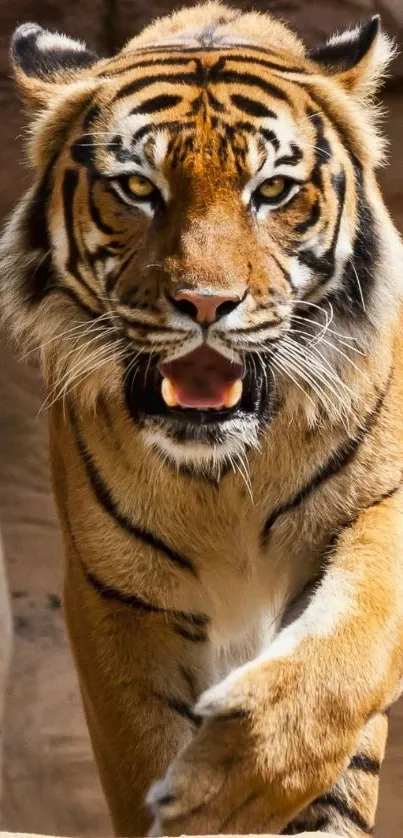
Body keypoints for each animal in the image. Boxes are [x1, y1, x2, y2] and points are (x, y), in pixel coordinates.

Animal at [0, 3, 403, 836]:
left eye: (272, 189)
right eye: (136, 187)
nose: (206, 304)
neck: (222, 477)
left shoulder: (378, 505)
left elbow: (343, 659)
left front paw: (238, 784)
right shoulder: (118, 593)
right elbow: (142, 748)